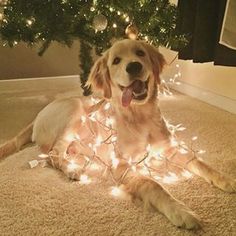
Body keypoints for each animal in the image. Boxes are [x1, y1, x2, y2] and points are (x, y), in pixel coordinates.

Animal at [0, 39, 235, 230]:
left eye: (140, 53)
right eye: (116, 61)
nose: (134, 66)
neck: (140, 117)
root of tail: (38, 115)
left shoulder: (170, 148)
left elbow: (199, 162)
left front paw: (226, 180)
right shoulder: (122, 164)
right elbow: (153, 184)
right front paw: (181, 211)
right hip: (75, 111)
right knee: (53, 154)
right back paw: (72, 169)